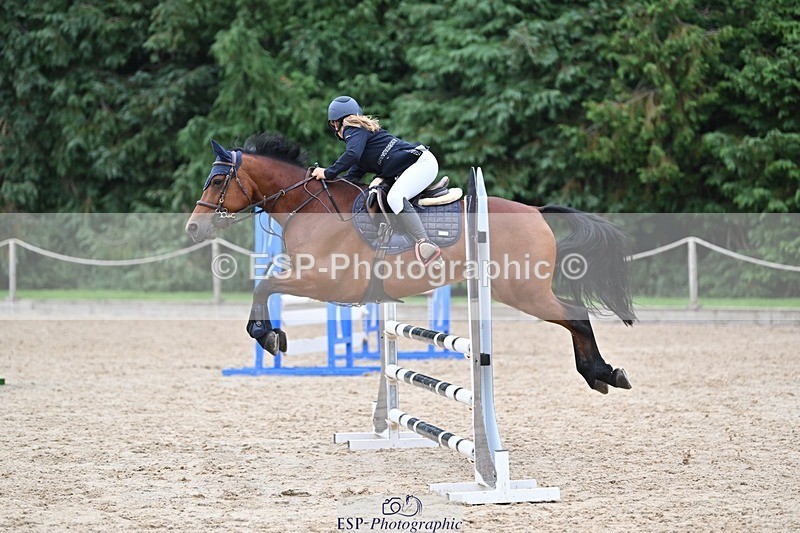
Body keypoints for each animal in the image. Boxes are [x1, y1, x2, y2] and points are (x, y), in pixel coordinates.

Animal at [185, 133, 635, 394]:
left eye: (217, 180)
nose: (193, 227)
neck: (309, 206)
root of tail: (536, 211)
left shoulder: (323, 282)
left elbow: (265, 286)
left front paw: (267, 336)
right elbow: (265, 286)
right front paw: (271, 334)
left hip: (523, 291)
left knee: (576, 316)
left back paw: (602, 373)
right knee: (575, 316)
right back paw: (602, 374)